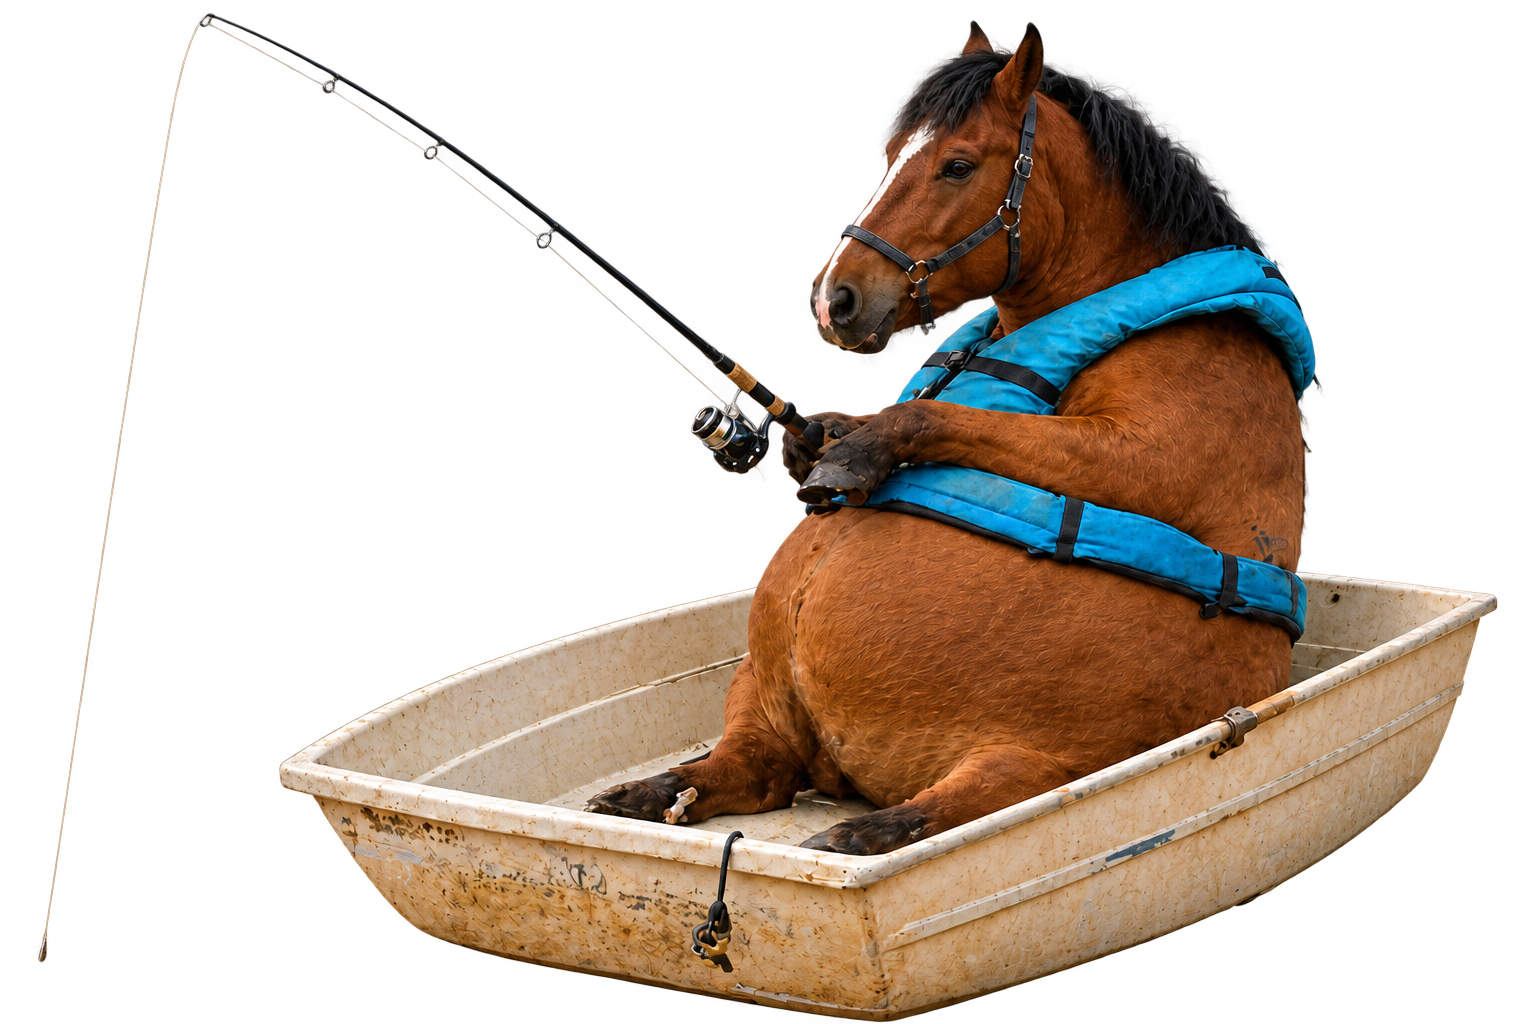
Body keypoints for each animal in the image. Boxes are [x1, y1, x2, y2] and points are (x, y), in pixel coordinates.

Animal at [586, 23, 1305, 855]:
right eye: (891, 156)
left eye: (957, 165)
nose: (834, 298)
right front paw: (829, 434)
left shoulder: (1140, 455)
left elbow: (956, 420)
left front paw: (857, 451)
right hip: (765, 699)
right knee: (748, 767)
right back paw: (650, 793)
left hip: (1038, 755)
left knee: (949, 802)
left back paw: (855, 838)